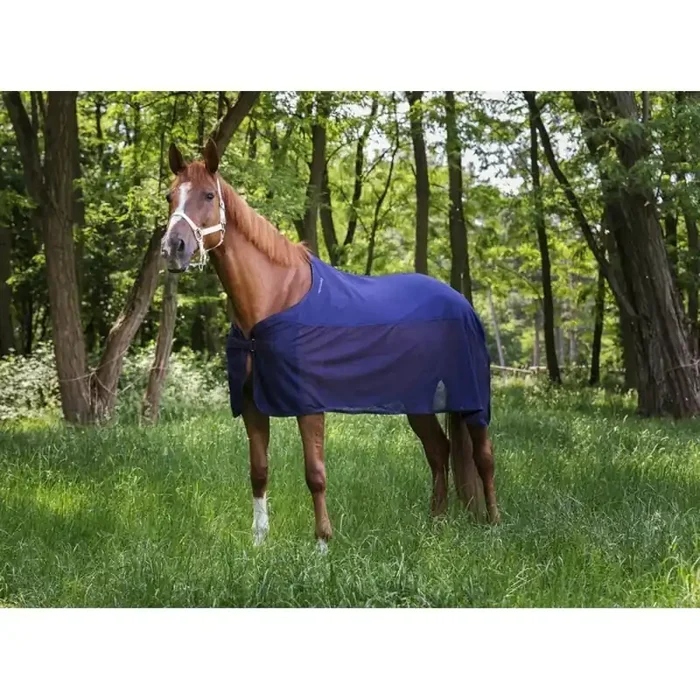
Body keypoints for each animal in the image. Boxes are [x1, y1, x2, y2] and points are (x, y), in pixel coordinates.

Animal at [160, 139, 500, 552]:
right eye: (169, 196)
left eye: (208, 195)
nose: (173, 247)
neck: (272, 303)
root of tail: (460, 302)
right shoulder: (253, 404)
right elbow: (259, 471)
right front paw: (259, 543)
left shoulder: (309, 405)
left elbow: (315, 473)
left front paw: (323, 543)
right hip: (417, 401)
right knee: (439, 451)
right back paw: (436, 524)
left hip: (470, 398)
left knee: (482, 455)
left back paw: (494, 524)